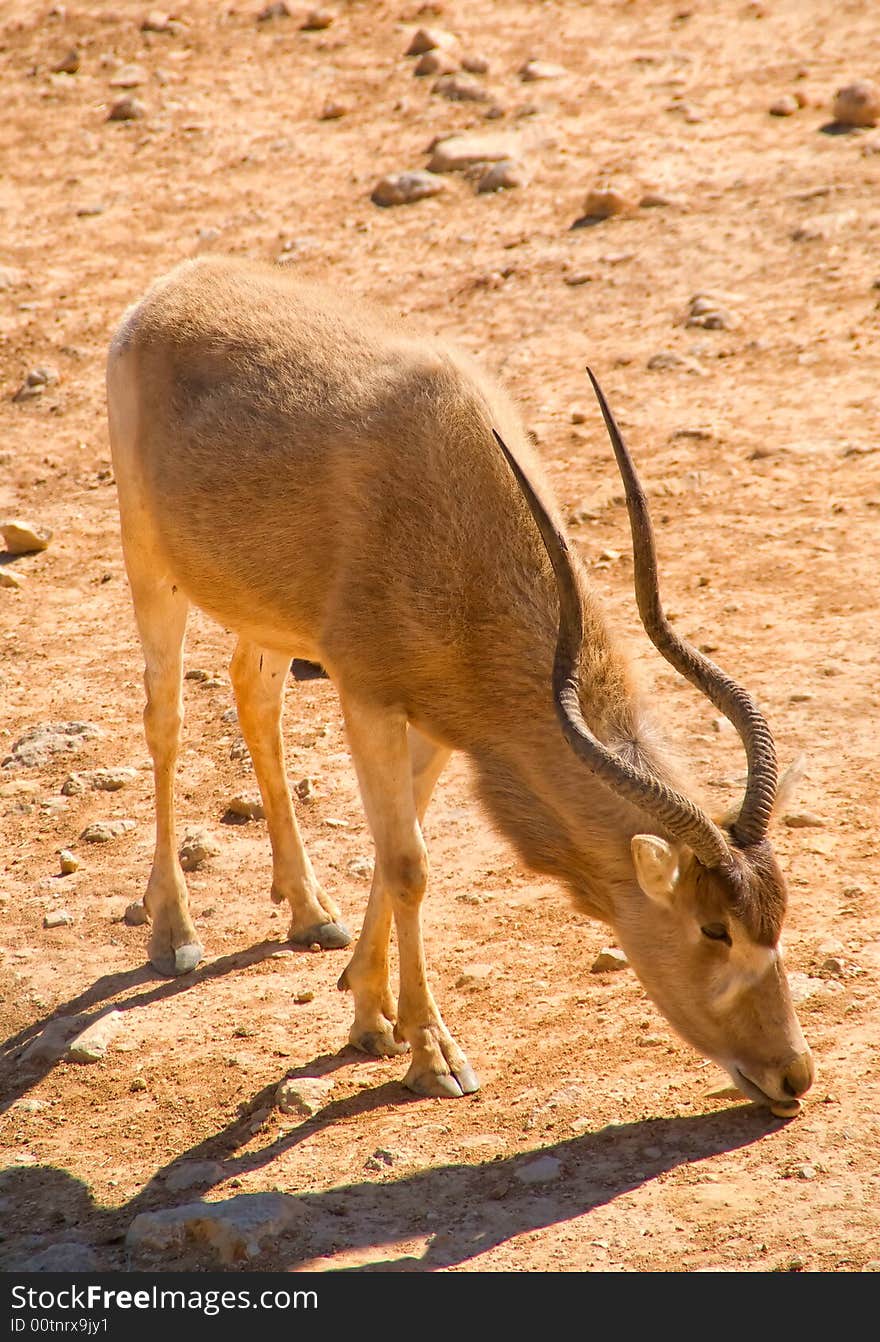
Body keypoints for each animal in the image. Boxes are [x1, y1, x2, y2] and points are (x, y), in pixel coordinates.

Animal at [106, 252, 815, 1111]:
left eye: (778, 916)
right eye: (714, 928)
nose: (793, 1074)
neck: (464, 499)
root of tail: (168, 291)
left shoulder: (452, 719)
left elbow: (395, 841)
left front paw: (370, 1014)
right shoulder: (369, 696)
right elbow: (407, 865)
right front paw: (431, 1054)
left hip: (268, 618)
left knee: (254, 692)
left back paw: (309, 912)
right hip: (152, 565)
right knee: (166, 720)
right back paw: (174, 932)